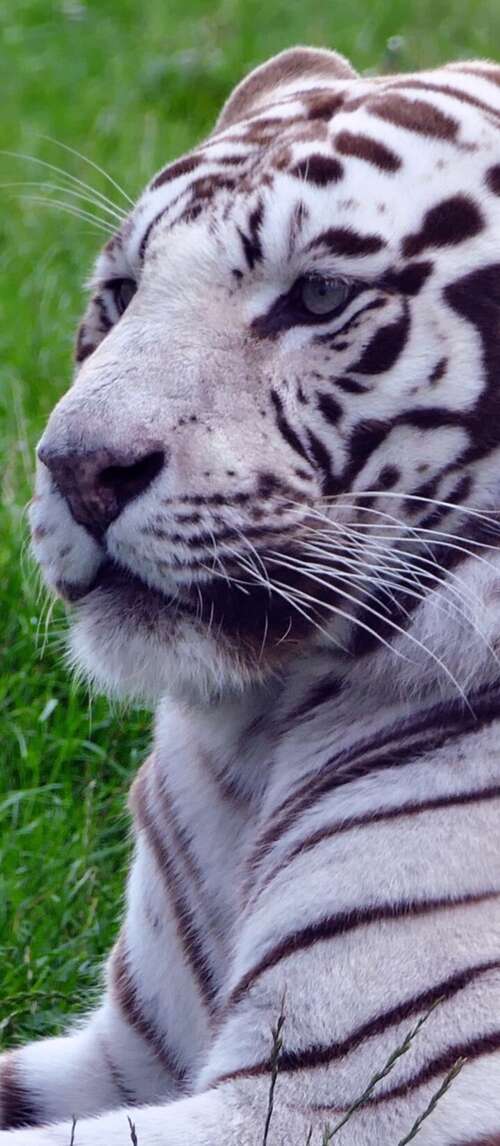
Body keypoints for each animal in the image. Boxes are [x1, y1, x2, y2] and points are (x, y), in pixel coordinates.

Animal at [3, 40, 500, 1145]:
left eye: (317, 298)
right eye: (121, 292)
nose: (77, 469)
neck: (258, 739)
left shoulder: (349, 1095)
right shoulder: (124, 1054)